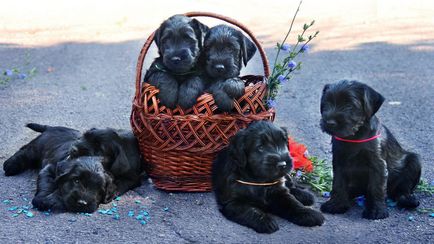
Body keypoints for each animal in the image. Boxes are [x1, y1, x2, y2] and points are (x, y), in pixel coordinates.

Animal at [2, 124, 145, 212]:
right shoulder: (51, 168)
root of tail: (52, 127)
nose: (74, 148)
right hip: (36, 147)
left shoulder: (133, 178)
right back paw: (10, 165)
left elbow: (119, 185)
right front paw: (48, 199)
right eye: (84, 136)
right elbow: (46, 184)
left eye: (99, 149)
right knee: (24, 151)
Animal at [318, 80, 420, 219]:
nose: (329, 122)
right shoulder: (339, 161)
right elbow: (338, 184)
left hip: (414, 161)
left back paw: (408, 200)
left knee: (403, 188)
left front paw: (376, 211)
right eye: (326, 102)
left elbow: (376, 187)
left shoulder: (378, 164)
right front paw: (336, 204)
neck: (355, 136)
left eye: (349, 105)